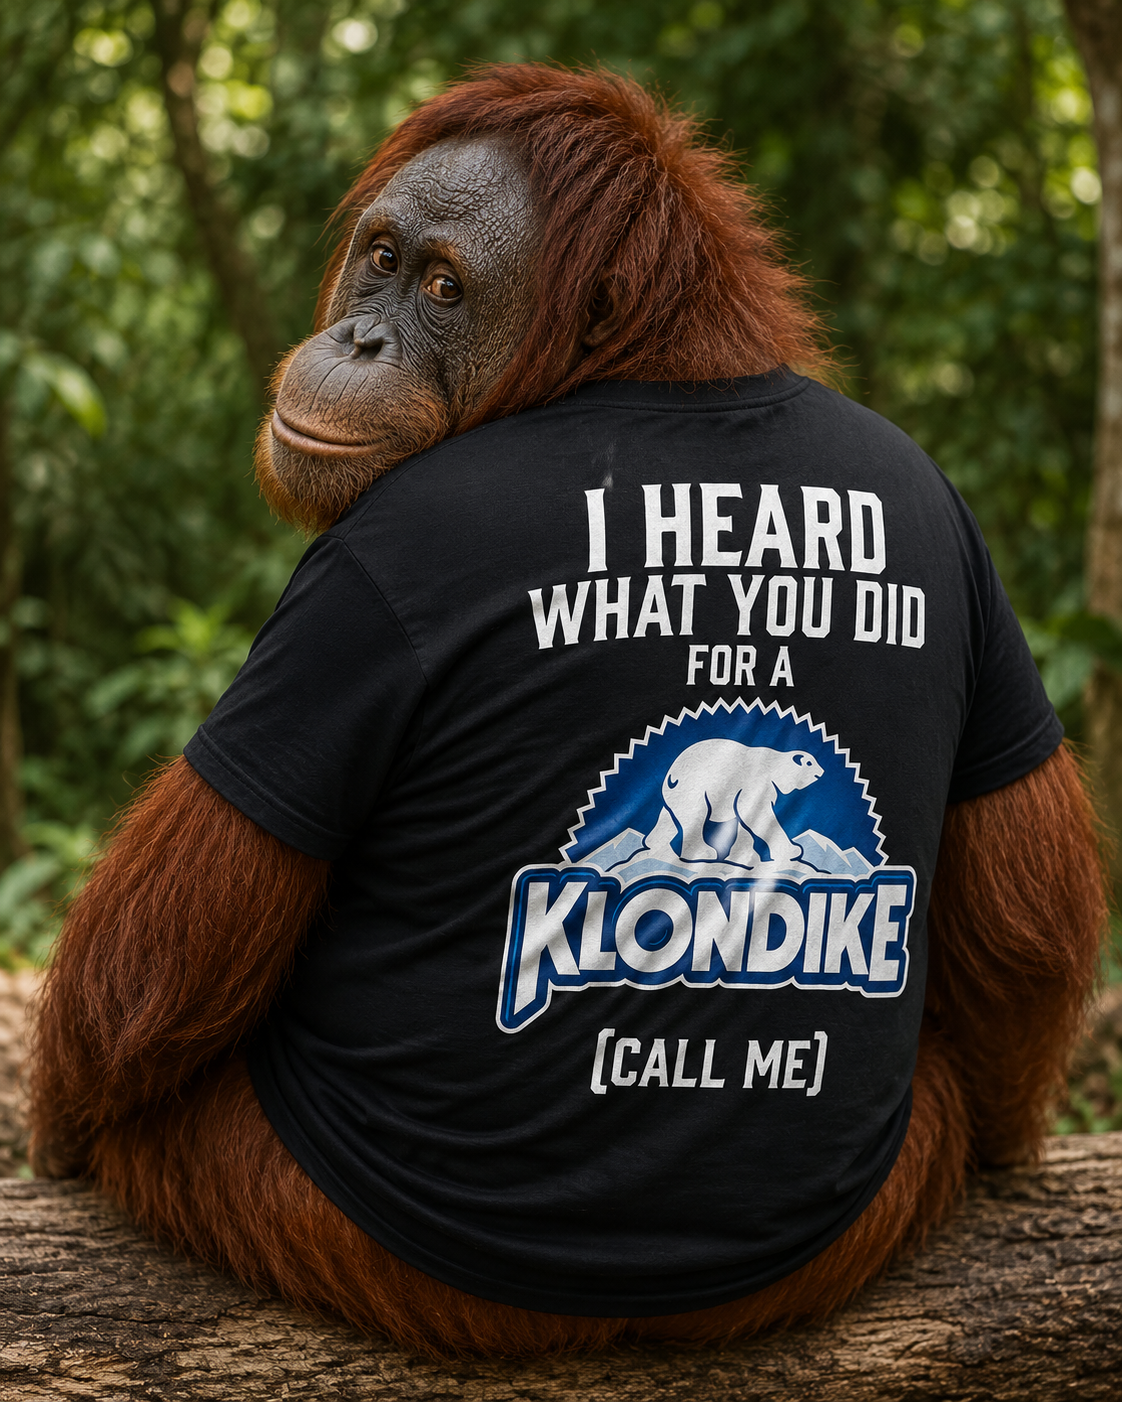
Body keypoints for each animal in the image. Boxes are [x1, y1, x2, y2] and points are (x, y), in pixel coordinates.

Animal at [29, 65, 1105, 1359]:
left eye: (446, 288)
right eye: (382, 259)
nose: (361, 337)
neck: (655, 370)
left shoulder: (365, 575)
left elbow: (131, 991)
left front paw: (55, 1116)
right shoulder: (950, 514)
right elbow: (1035, 929)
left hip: (288, 1205)